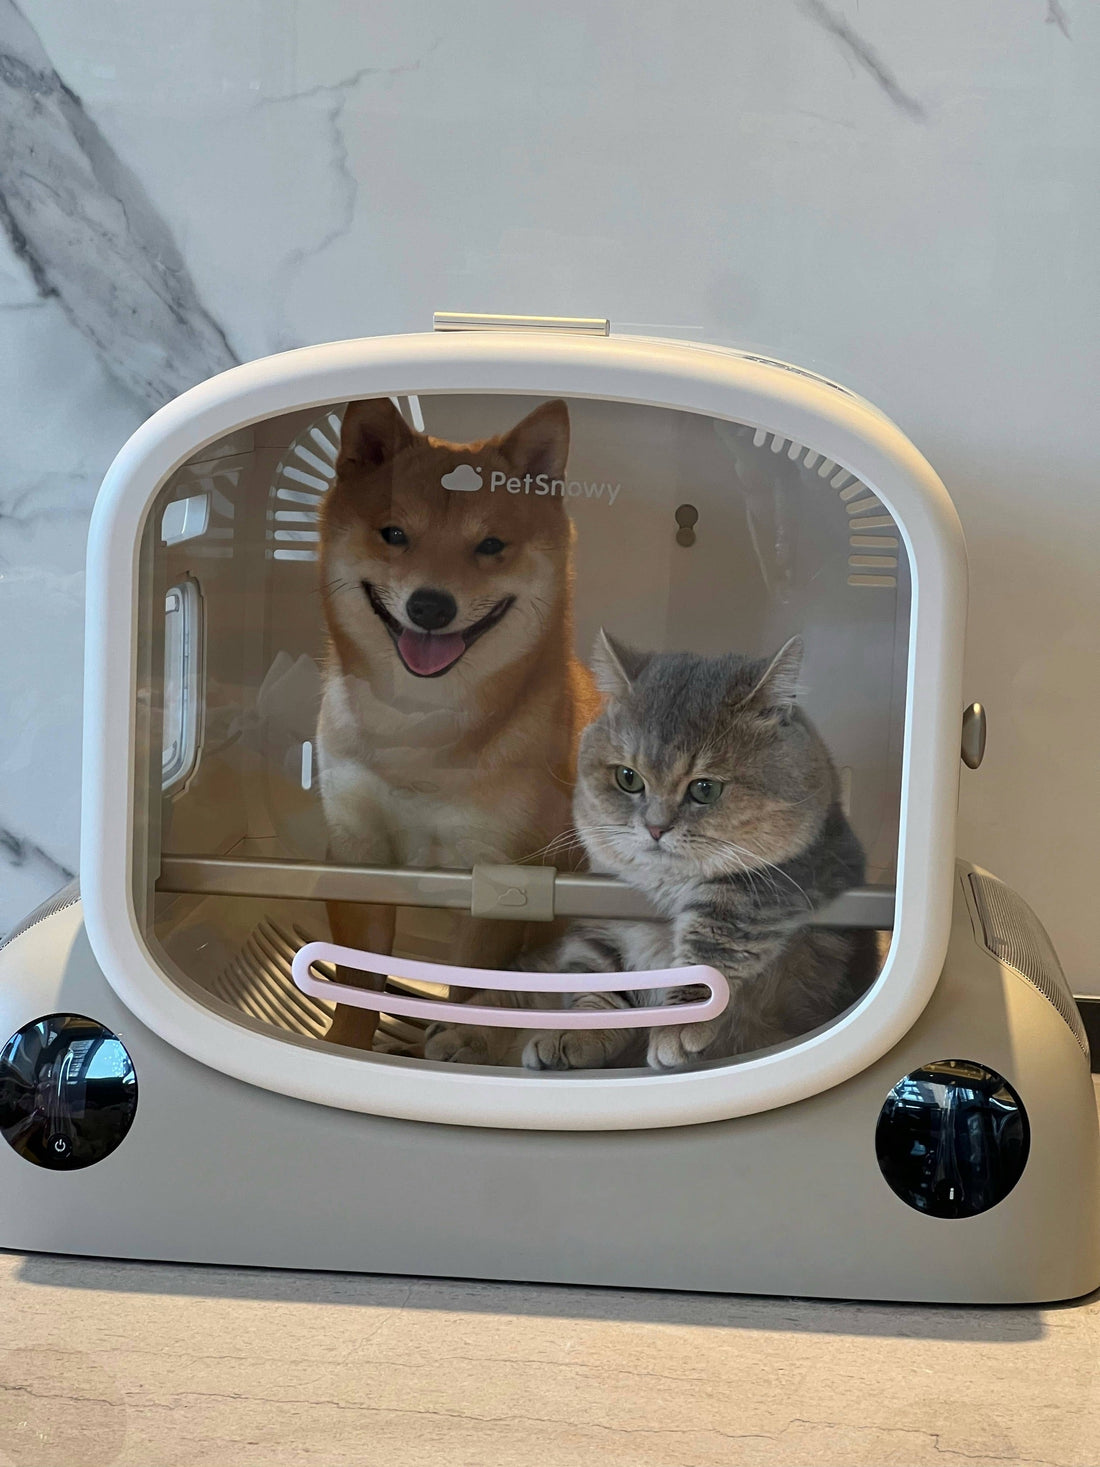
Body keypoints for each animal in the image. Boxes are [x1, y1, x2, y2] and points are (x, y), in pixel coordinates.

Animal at [318, 396, 595, 1050]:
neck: (421, 734)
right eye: (394, 534)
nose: (430, 604)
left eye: (490, 545)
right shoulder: (357, 856)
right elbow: (357, 989)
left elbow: (469, 991)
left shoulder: (500, 883)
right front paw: (344, 1047)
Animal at [516, 630, 880, 1067]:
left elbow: (710, 949)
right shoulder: (603, 913)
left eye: (705, 789)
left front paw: (678, 1025)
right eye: (628, 778)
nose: (655, 828)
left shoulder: (782, 878)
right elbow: (597, 979)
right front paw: (571, 1034)